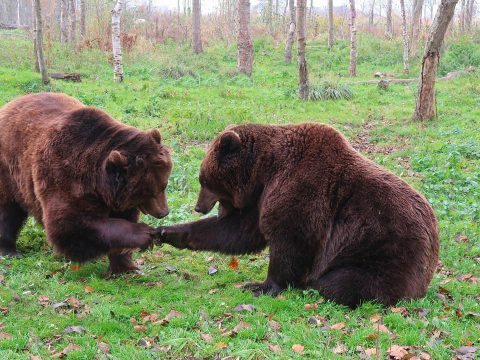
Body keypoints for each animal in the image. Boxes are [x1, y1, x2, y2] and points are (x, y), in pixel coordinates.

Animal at [0, 92, 172, 272]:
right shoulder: (65, 176)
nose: (164, 212)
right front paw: (144, 234)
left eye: (164, 185)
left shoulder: (117, 197)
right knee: (8, 211)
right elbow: (71, 225)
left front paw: (125, 266)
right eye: (150, 192)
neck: (98, 182)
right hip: (10, 169)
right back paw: (9, 249)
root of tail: (11, 103)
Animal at [157, 123, 438, 306]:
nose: (198, 207)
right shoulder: (261, 198)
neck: (264, 170)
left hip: (382, 251)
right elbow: (238, 232)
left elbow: (291, 240)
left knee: (343, 283)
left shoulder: (302, 189)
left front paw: (261, 286)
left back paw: (314, 286)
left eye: (203, 180)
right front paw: (169, 232)